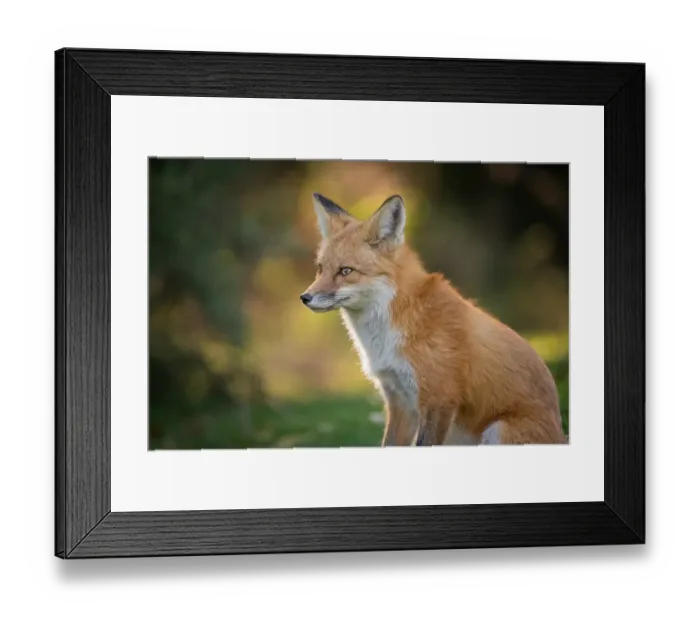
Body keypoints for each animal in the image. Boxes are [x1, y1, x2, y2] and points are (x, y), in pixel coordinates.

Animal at [300, 192, 568, 447]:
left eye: (345, 271)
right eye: (320, 269)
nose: (305, 298)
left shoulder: (439, 399)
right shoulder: (400, 402)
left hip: (498, 430)